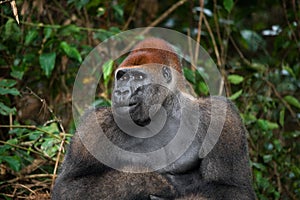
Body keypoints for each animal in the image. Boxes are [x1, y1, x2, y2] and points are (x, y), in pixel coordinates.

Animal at [52, 38, 255, 200]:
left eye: (138, 76)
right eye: (122, 77)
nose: (120, 91)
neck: (161, 113)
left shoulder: (222, 116)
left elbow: (234, 188)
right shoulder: (95, 123)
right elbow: (69, 187)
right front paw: (151, 181)